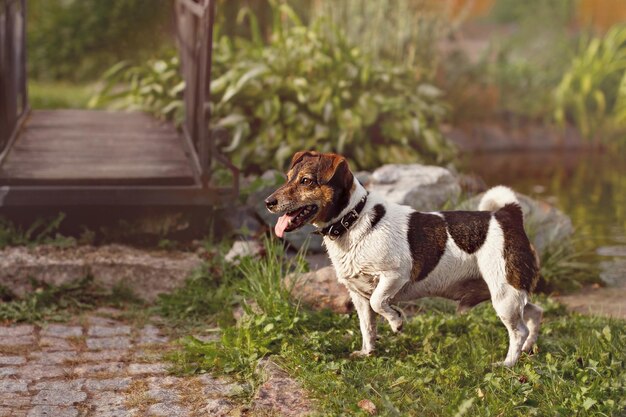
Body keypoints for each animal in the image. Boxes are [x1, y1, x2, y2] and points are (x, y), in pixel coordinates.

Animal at [264, 151, 540, 366]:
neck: (354, 220)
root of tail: (508, 214)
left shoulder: (395, 275)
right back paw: (528, 348)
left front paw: (396, 321)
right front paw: (367, 353)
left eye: (306, 181)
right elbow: (367, 326)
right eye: (287, 178)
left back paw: (508, 363)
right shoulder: (357, 295)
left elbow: (379, 302)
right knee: (535, 313)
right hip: (506, 294)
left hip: (503, 295)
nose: (268, 202)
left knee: (518, 330)